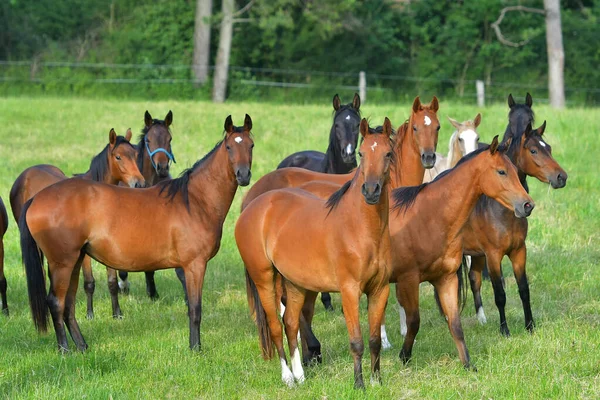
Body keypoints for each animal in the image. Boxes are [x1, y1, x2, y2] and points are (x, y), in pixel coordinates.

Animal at [9, 130, 144, 318]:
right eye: (118, 157)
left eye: (135, 155)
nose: (139, 183)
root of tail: (27, 172)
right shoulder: (85, 253)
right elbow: (89, 282)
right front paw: (89, 314)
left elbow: (112, 281)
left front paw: (117, 313)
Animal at [237, 118, 396, 388]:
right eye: (362, 154)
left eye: (388, 153)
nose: (371, 190)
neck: (360, 228)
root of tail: (252, 207)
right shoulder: (350, 291)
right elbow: (357, 342)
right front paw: (359, 385)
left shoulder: (379, 289)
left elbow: (375, 339)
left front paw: (377, 382)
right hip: (264, 279)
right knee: (275, 326)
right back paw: (288, 378)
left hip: (295, 284)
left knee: (291, 324)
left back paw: (300, 375)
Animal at [464, 98, 568, 336]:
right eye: (533, 150)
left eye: (548, 147)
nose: (561, 177)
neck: (504, 210)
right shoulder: (494, 256)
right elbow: (500, 294)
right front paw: (505, 331)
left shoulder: (519, 251)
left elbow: (524, 289)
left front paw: (530, 326)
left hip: (476, 253)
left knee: (474, 278)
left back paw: (481, 319)